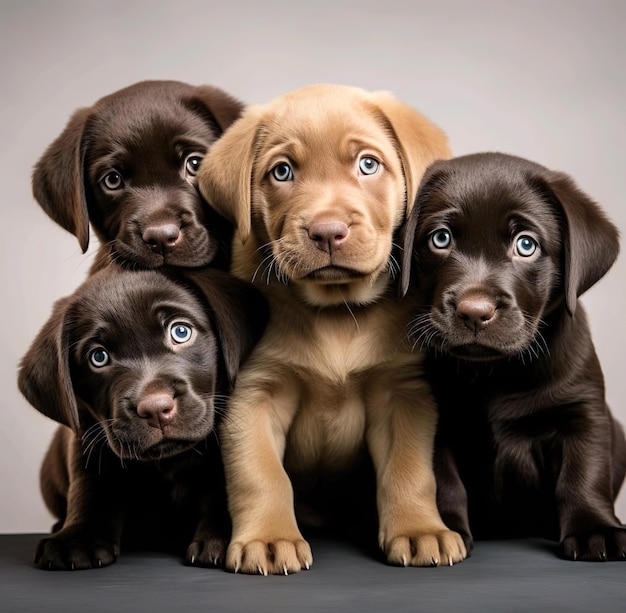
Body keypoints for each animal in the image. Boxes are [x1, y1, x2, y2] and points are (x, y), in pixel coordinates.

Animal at [18, 266, 266, 568]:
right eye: (98, 357)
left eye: (181, 331)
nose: (156, 409)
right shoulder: (89, 439)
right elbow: (91, 486)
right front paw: (77, 538)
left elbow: (219, 487)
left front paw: (226, 533)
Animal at [197, 82, 466, 572]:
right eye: (282, 171)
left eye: (368, 164)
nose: (327, 231)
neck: (337, 313)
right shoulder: (254, 394)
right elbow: (260, 474)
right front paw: (268, 538)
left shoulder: (403, 392)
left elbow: (409, 471)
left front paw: (420, 530)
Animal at [400, 152, 624, 560]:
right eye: (440, 238)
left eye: (526, 245)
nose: (474, 311)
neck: (498, 372)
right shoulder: (433, 417)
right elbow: (442, 481)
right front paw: (443, 530)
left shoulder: (582, 411)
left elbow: (585, 473)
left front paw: (593, 529)